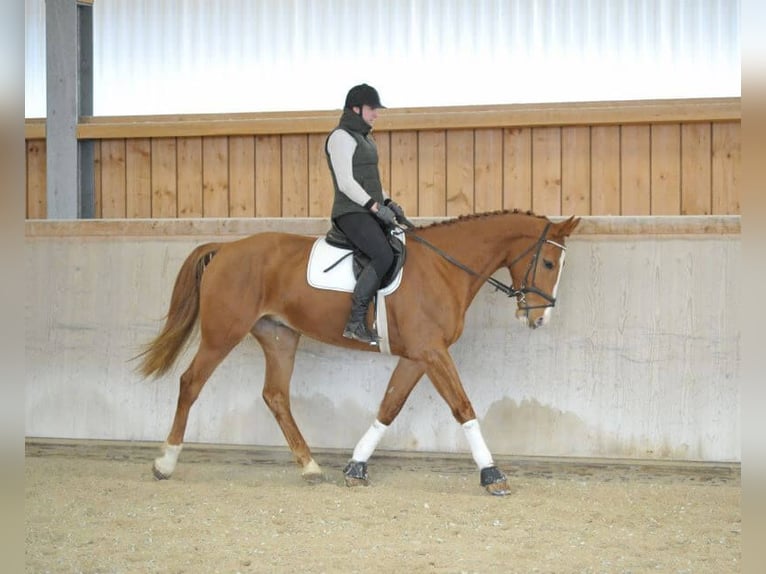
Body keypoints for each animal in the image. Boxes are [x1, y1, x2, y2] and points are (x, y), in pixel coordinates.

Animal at [138, 209, 584, 498]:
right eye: (547, 262)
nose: (539, 318)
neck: (444, 268)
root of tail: (226, 248)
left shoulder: (418, 355)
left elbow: (389, 406)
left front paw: (356, 467)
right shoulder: (431, 351)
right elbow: (463, 407)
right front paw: (493, 474)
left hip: (280, 338)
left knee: (275, 396)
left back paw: (310, 467)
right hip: (222, 333)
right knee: (190, 383)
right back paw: (165, 463)